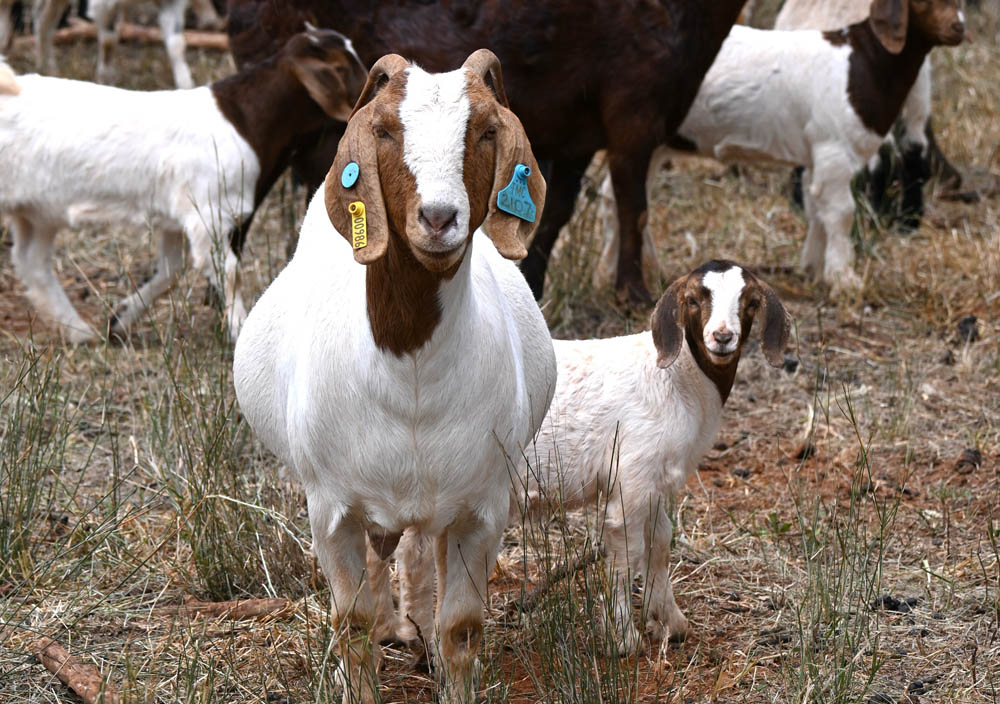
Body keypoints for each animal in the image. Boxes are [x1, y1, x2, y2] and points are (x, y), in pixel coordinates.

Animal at [0, 27, 366, 343]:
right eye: (340, 67)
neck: (244, 121)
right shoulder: (208, 214)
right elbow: (228, 270)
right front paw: (239, 332)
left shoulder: (175, 218)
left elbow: (170, 270)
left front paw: (120, 318)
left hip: (39, 211)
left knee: (32, 263)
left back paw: (78, 331)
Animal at [225, 0, 750, 304]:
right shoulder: (634, 110)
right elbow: (633, 207)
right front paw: (634, 295)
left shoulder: (578, 132)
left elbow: (553, 213)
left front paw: (532, 282)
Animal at [232, 50, 557, 703]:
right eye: (383, 131)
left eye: (486, 131)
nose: (438, 218)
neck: (410, 378)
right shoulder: (330, 508)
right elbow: (351, 622)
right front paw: (362, 661)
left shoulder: (484, 508)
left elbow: (462, 627)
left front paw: (447, 667)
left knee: (417, 555)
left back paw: (416, 631)